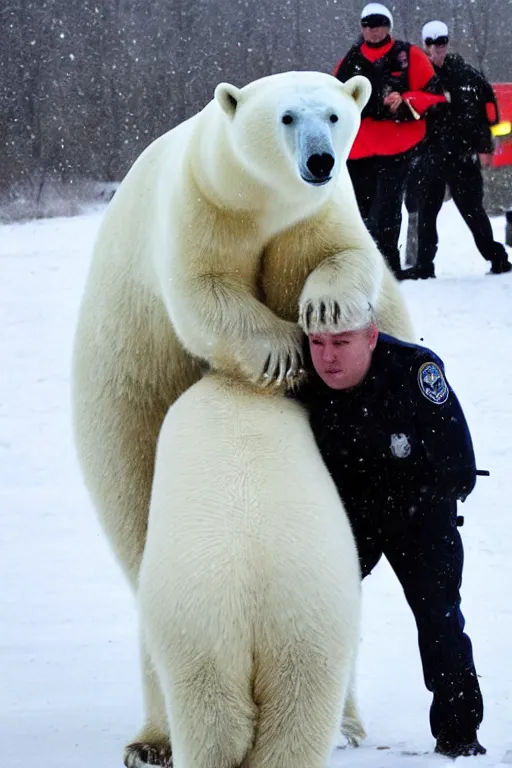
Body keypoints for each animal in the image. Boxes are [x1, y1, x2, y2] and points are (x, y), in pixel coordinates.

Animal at [139, 376, 364, 768]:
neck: (239, 395)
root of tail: (253, 584)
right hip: (304, 623)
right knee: (293, 719)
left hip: (204, 622)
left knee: (211, 724)